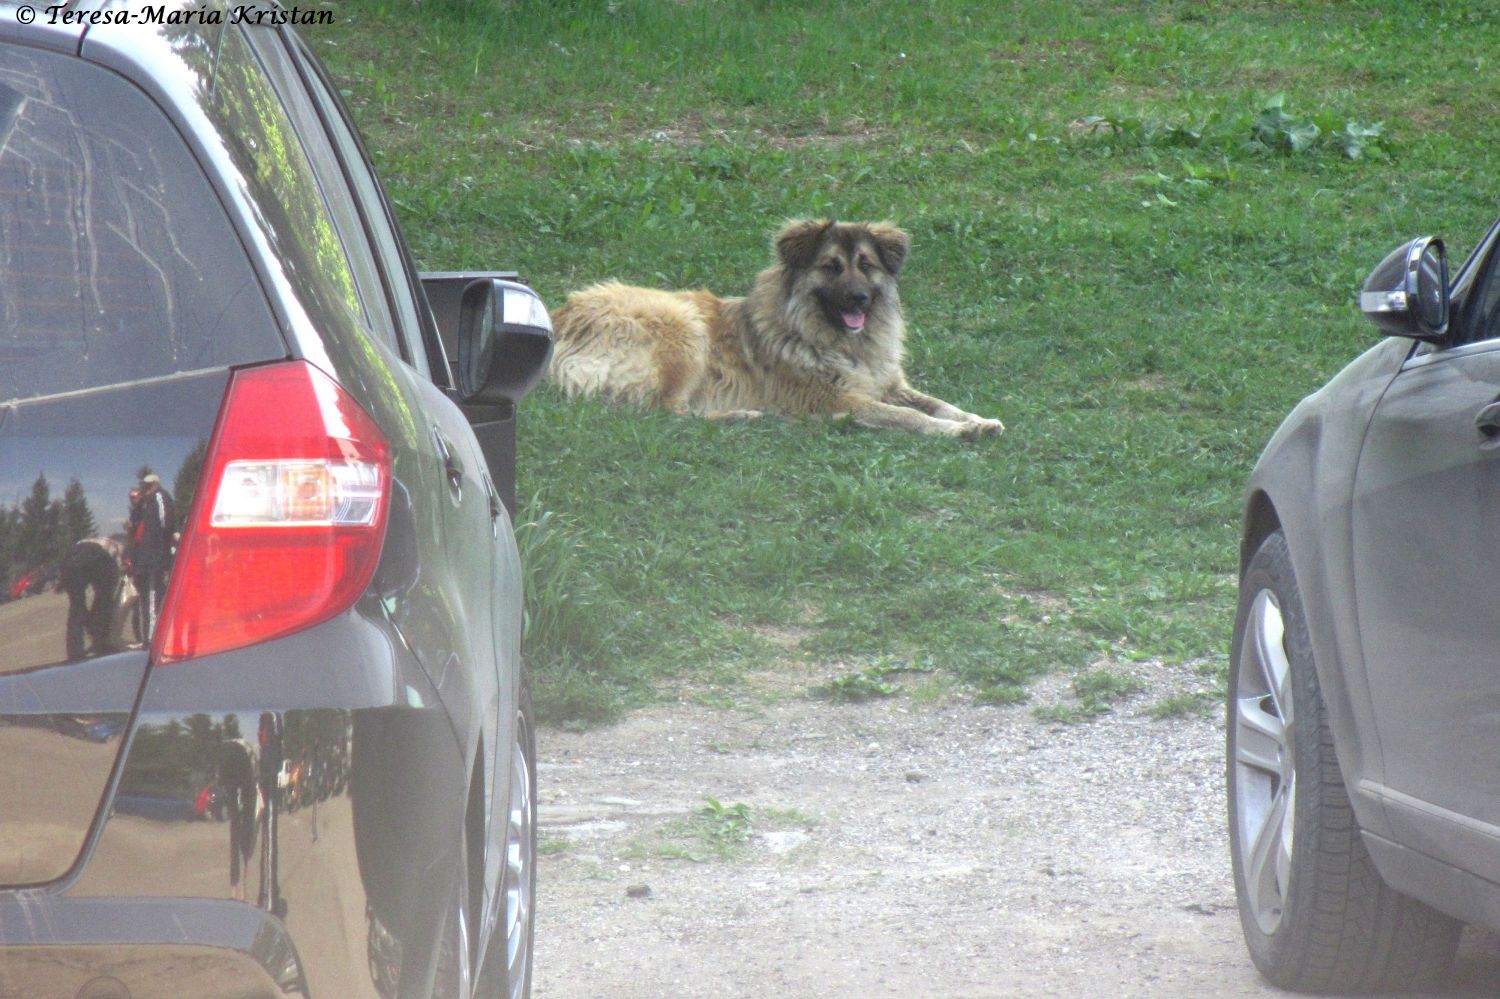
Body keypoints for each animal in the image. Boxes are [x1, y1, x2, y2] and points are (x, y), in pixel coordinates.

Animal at [546, 220, 1002, 438]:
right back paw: (747, 417)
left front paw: (977, 420)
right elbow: (908, 416)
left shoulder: (887, 384)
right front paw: (957, 432)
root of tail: (562, 318)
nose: (859, 299)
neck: (840, 341)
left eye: (866, 265)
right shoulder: (840, 397)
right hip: (683, 329)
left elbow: (938, 403)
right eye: (831, 267)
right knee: (664, 413)